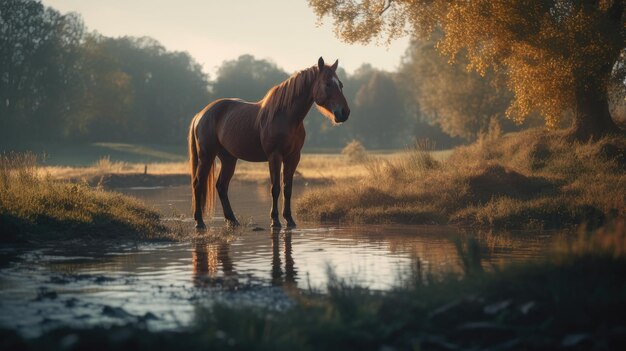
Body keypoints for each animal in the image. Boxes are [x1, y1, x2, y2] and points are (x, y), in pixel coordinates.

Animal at [185, 57, 352, 231]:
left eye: (340, 84)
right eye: (327, 84)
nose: (344, 112)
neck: (286, 117)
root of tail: (201, 114)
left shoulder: (293, 157)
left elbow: (287, 188)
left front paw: (289, 220)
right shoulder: (275, 156)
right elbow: (275, 188)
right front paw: (275, 221)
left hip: (228, 159)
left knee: (221, 186)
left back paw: (232, 220)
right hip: (207, 156)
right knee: (198, 184)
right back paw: (199, 222)